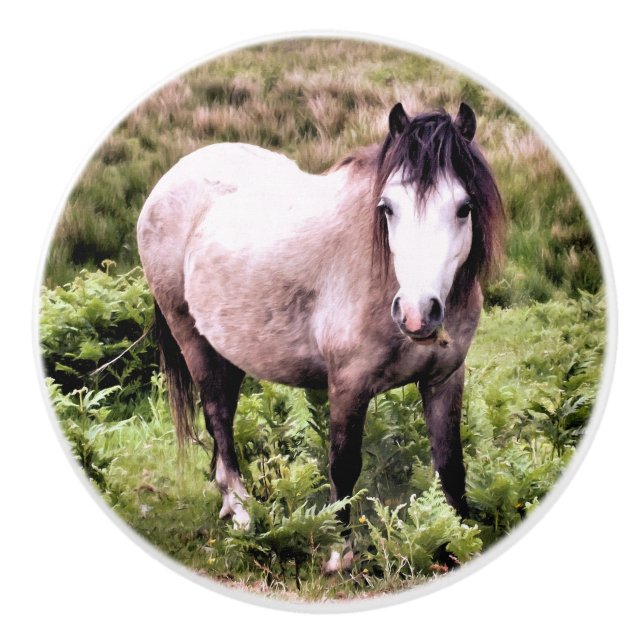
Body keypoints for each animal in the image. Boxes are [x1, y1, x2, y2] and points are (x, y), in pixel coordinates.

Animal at [137, 101, 504, 573]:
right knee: (218, 415)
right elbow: (343, 465)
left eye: (464, 207)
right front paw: (338, 554)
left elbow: (450, 464)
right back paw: (240, 509)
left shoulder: (444, 379)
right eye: (388, 207)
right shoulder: (348, 384)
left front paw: (456, 539)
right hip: (192, 339)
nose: (417, 313)